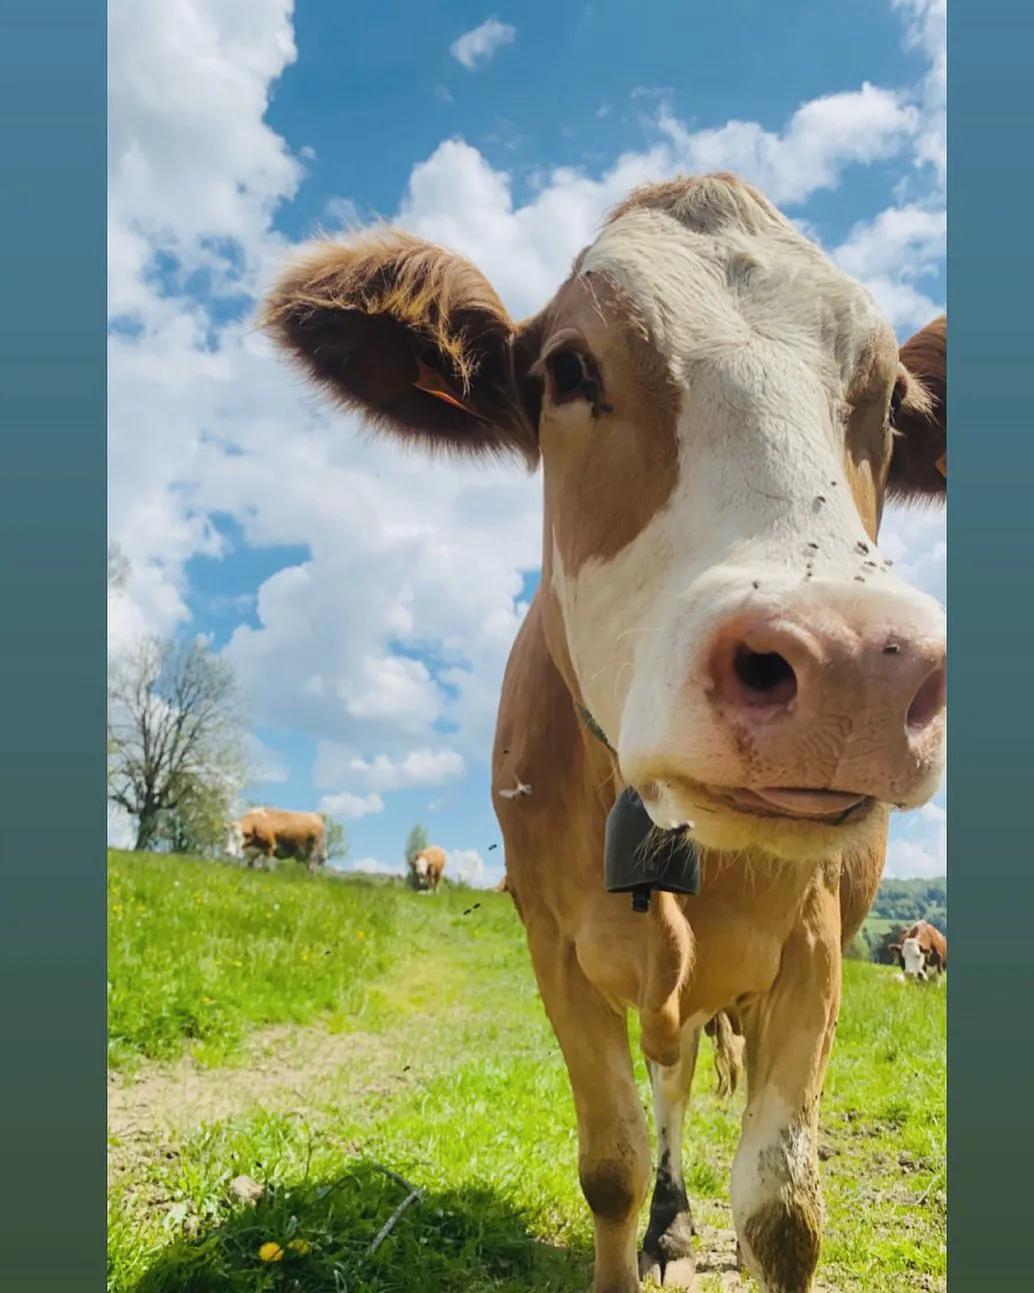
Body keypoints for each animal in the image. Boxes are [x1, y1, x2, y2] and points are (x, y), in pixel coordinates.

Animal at [264, 171, 946, 1293]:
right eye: (568, 369)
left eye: (892, 399)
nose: (850, 663)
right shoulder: (553, 946)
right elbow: (612, 1164)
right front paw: (645, 1223)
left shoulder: (815, 948)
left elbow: (781, 1209)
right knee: (666, 1085)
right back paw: (671, 1222)